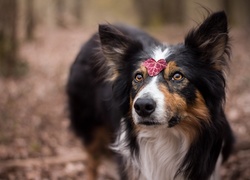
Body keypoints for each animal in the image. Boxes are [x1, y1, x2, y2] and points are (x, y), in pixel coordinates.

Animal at [67, 11, 234, 180]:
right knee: (91, 161)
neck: (166, 136)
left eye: (177, 76)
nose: (142, 106)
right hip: (89, 125)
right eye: (138, 77)